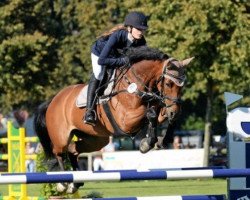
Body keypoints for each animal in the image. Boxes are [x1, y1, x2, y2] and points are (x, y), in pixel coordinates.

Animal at [33, 46, 193, 193]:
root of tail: (53, 100)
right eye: (168, 84)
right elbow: (151, 114)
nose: (174, 112)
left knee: (73, 150)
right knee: (59, 153)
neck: (133, 84)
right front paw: (147, 143)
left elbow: (157, 114)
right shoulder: (126, 121)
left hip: (96, 139)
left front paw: (161, 140)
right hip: (61, 137)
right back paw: (64, 183)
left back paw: (75, 183)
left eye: (182, 87)